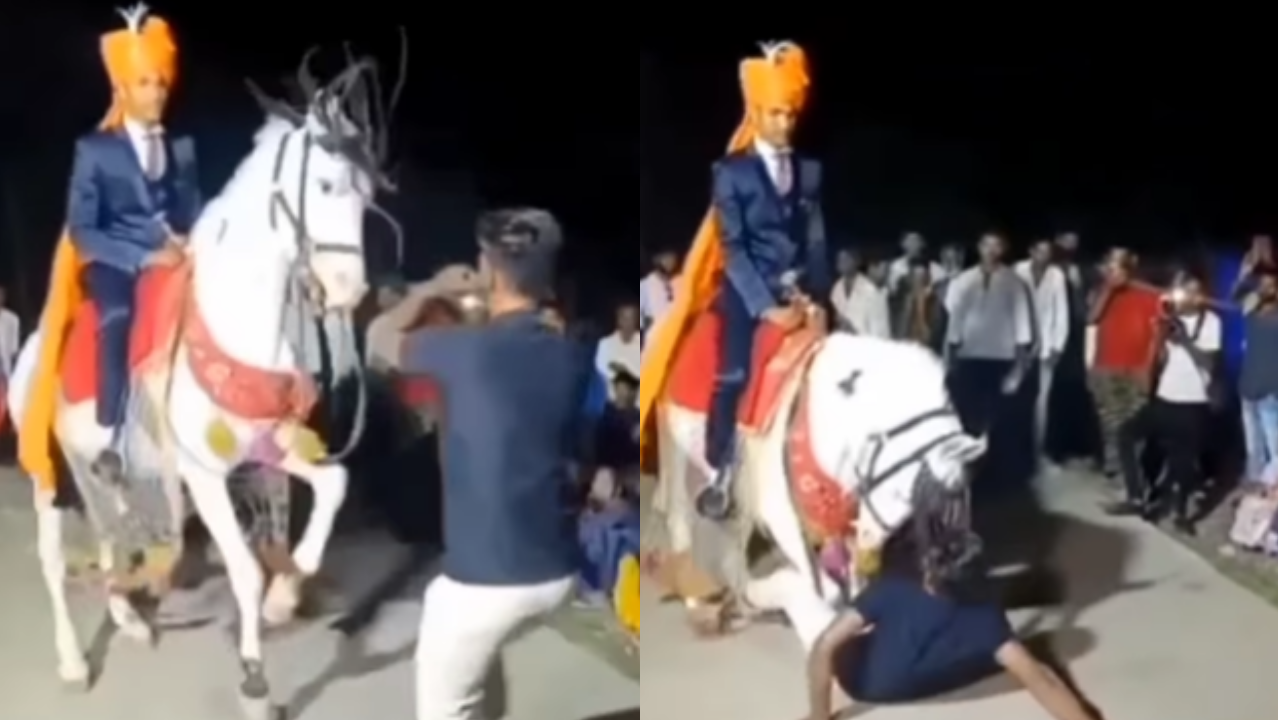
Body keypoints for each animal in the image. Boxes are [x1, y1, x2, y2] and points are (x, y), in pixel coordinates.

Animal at [7, 52, 399, 719]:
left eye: (366, 193)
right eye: (324, 186)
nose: (349, 290)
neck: (236, 322)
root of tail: (34, 341)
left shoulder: (269, 445)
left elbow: (334, 485)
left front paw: (286, 594)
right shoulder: (204, 474)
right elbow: (243, 569)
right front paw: (254, 681)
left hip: (97, 468)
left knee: (110, 533)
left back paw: (128, 620)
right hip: (49, 473)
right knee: (55, 560)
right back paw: (72, 662)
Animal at [646, 319, 986, 637]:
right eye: (905, 493)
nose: (871, 543)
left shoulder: (844, 513)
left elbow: (848, 579)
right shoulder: (782, 514)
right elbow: (820, 585)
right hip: (674, 439)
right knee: (680, 513)